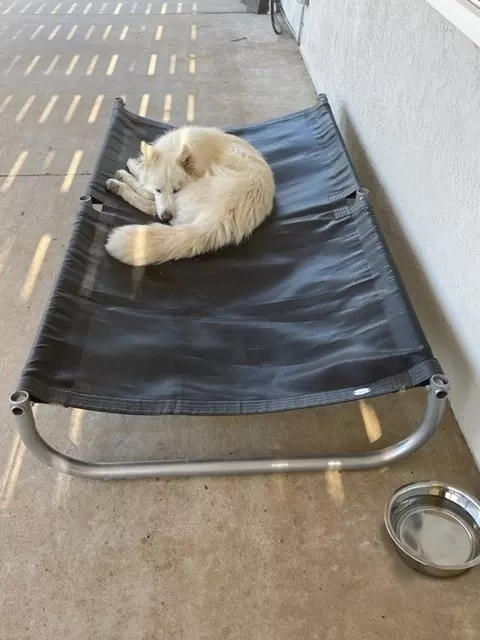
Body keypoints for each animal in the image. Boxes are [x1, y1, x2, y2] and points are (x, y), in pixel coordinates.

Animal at [105, 126, 276, 266]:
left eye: (176, 190)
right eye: (158, 189)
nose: (166, 218)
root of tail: (221, 217)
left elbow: (143, 182)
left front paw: (133, 167)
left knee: (149, 205)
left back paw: (119, 184)